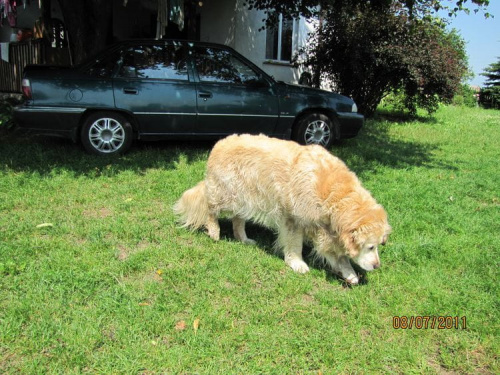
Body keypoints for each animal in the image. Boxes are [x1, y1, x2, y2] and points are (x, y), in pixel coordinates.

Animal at [175, 135, 390, 284]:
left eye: (379, 244)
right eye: (370, 246)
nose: (377, 266)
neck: (333, 194)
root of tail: (219, 143)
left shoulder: (325, 230)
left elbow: (338, 255)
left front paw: (349, 273)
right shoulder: (294, 219)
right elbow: (295, 245)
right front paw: (297, 263)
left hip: (245, 199)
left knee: (238, 219)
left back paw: (243, 238)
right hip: (226, 194)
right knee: (211, 209)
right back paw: (214, 231)